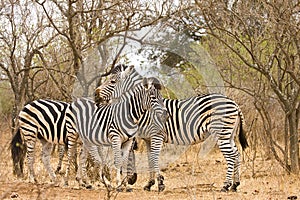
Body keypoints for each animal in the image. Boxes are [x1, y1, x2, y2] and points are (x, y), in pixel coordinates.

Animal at [95, 64, 248, 192]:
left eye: (112, 82)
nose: (95, 95)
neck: (145, 108)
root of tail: (233, 102)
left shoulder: (157, 135)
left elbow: (155, 158)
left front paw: (161, 183)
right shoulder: (148, 139)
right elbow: (150, 159)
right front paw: (149, 184)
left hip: (221, 133)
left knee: (231, 156)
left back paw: (226, 186)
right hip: (229, 135)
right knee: (236, 154)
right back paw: (235, 185)